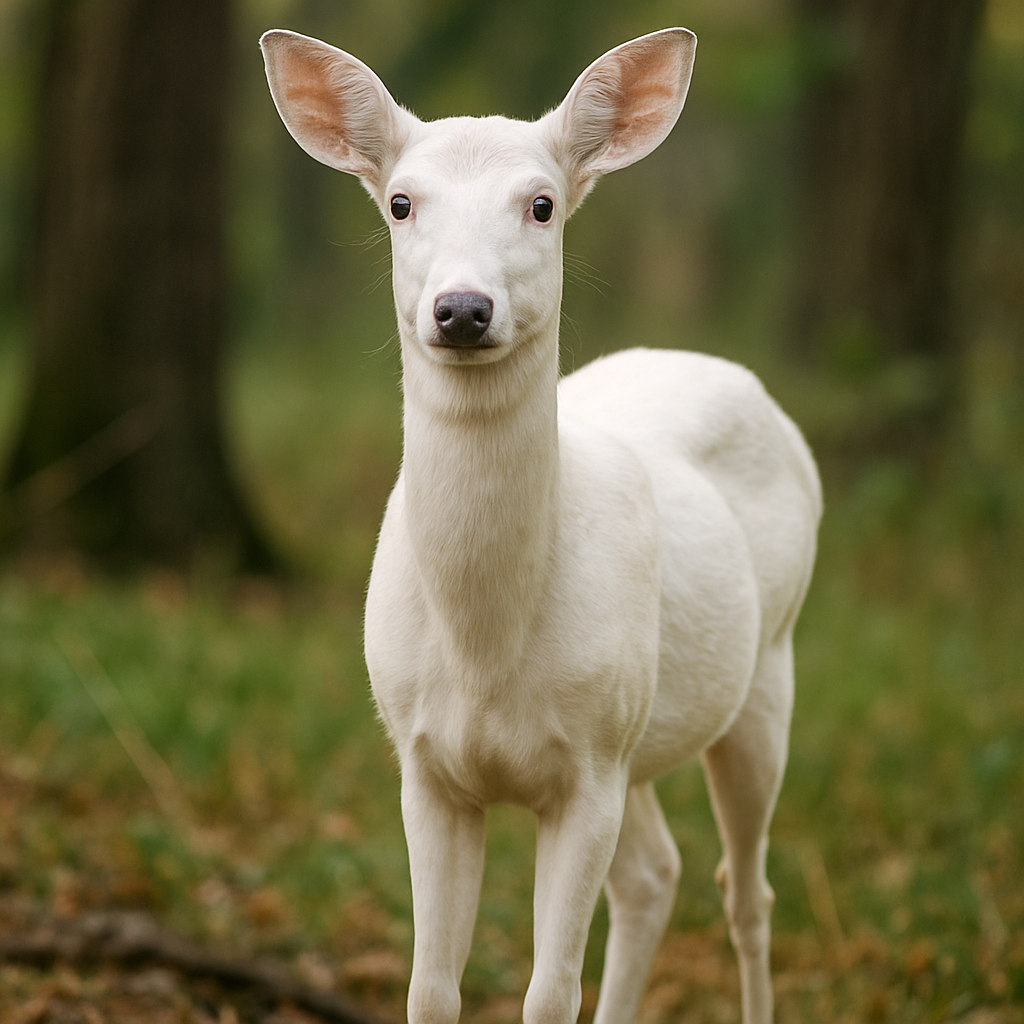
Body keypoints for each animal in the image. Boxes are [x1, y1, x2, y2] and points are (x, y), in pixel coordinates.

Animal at [261, 25, 821, 1024]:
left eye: (543, 204)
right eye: (400, 202)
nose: (462, 308)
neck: (487, 645)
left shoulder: (590, 768)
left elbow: (549, 994)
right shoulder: (424, 763)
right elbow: (431, 989)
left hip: (765, 668)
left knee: (746, 889)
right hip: (641, 727)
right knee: (656, 876)